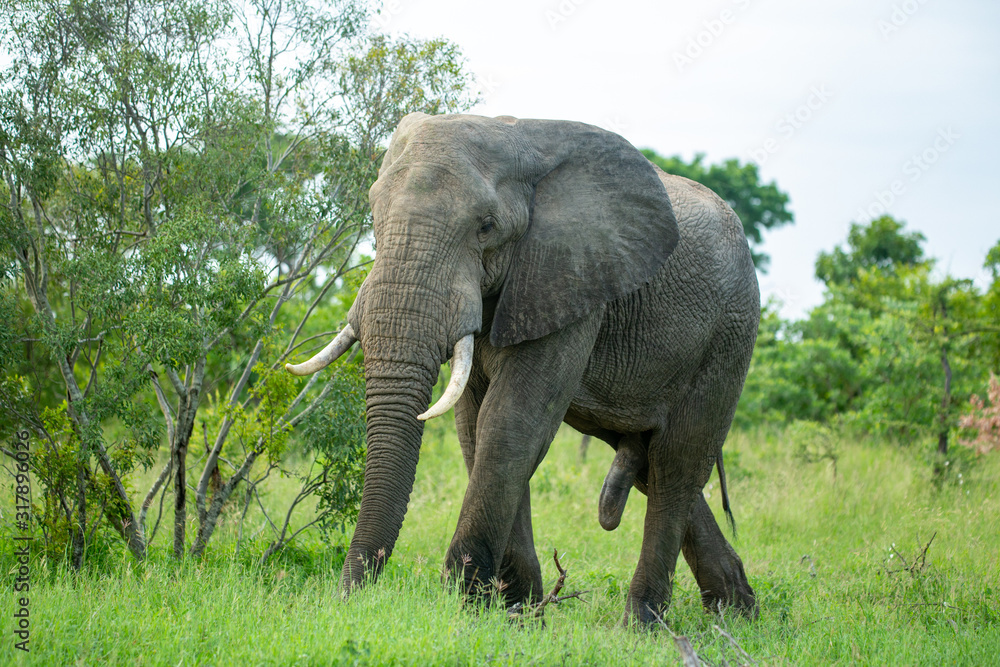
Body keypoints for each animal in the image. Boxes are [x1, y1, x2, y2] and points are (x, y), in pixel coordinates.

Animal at [288, 112, 756, 628]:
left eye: (486, 227)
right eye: (374, 215)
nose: (347, 601)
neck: (516, 134)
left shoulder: (570, 272)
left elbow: (512, 421)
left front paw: (469, 606)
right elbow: (475, 426)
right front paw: (519, 612)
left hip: (728, 336)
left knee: (678, 462)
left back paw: (644, 625)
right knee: (651, 459)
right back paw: (738, 612)